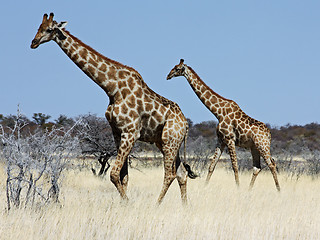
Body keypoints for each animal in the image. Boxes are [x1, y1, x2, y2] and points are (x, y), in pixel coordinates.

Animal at [31, 13, 196, 204]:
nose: (33, 42)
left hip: (170, 141)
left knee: (170, 174)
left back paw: (156, 205)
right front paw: (124, 204)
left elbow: (114, 174)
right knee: (181, 173)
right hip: (164, 142)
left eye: (49, 29)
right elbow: (123, 176)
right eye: (38, 27)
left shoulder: (131, 133)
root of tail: (185, 124)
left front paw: (128, 203)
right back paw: (184, 206)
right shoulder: (117, 132)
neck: (112, 88)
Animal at [168, 59, 280, 191]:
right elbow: (212, 165)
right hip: (255, 147)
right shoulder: (221, 140)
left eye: (177, 68)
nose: (168, 76)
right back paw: (249, 190)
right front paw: (205, 187)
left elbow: (235, 166)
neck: (218, 112)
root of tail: (269, 134)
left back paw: (278, 190)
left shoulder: (230, 139)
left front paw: (238, 188)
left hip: (263, 145)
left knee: (272, 164)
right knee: (257, 167)